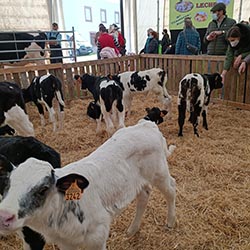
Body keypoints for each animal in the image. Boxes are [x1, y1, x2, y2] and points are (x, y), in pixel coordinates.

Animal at [0, 113, 177, 250]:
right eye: (7, 183)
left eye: (43, 189)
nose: (4, 216)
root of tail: (146, 124)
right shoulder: (65, 243)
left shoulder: (98, 237)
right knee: (144, 194)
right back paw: (132, 230)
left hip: (159, 172)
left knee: (171, 189)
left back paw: (170, 222)